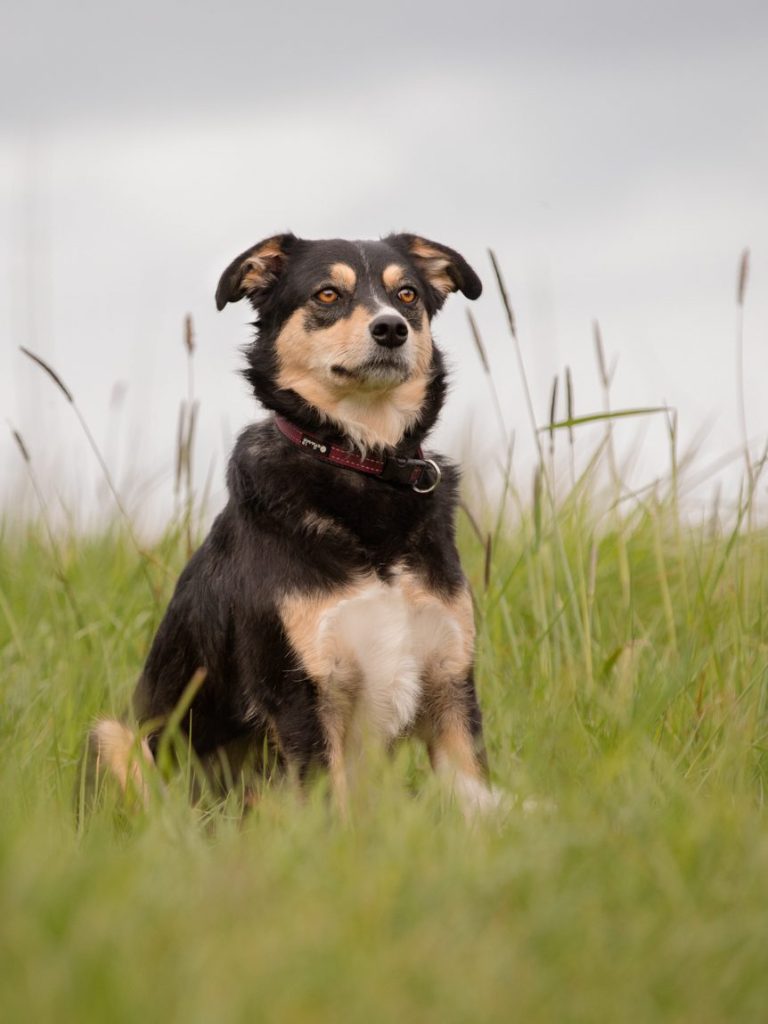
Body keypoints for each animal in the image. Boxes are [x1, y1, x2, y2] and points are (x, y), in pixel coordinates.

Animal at [91, 230, 505, 815]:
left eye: (406, 295)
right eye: (328, 294)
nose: (391, 329)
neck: (361, 461)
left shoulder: (451, 681)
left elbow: (474, 797)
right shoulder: (299, 692)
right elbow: (329, 809)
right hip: (113, 739)